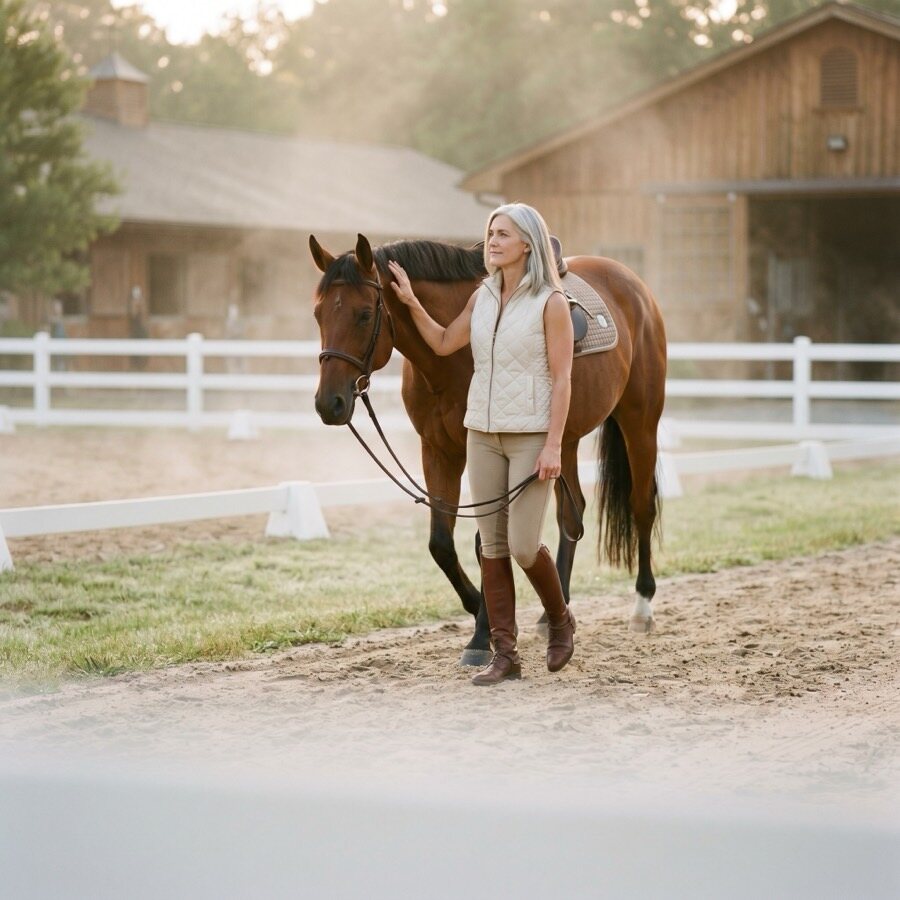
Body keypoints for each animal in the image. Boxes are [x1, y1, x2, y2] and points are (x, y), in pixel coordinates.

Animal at [311, 232, 667, 666]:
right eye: (319, 314)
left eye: (364, 314)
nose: (329, 404)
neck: (452, 358)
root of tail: (635, 286)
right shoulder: (438, 451)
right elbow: (442, 544)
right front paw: (478, 608)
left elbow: (485, 545)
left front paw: (482, 635)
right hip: (561, 443)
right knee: (572, 513)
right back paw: (556, 613)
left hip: (640, 422)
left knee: (641, 506)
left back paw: (642, 607)